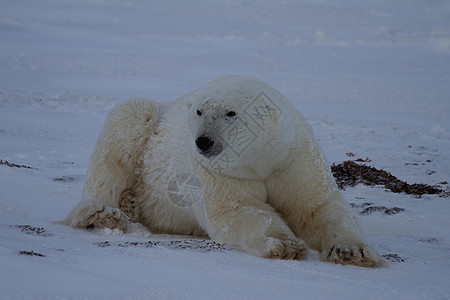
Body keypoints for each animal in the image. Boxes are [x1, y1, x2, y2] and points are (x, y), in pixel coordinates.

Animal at [61, 75, 386, 268]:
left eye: (231, 113)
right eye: (199, 112)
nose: (203, 141)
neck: (261, 162)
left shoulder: (293, 159)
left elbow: (317, 207)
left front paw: (352, 252)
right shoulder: (214, 172)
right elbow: (236, 208)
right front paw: (284, 244)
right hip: (146, 128)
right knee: (124, 127)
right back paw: (105, 212)